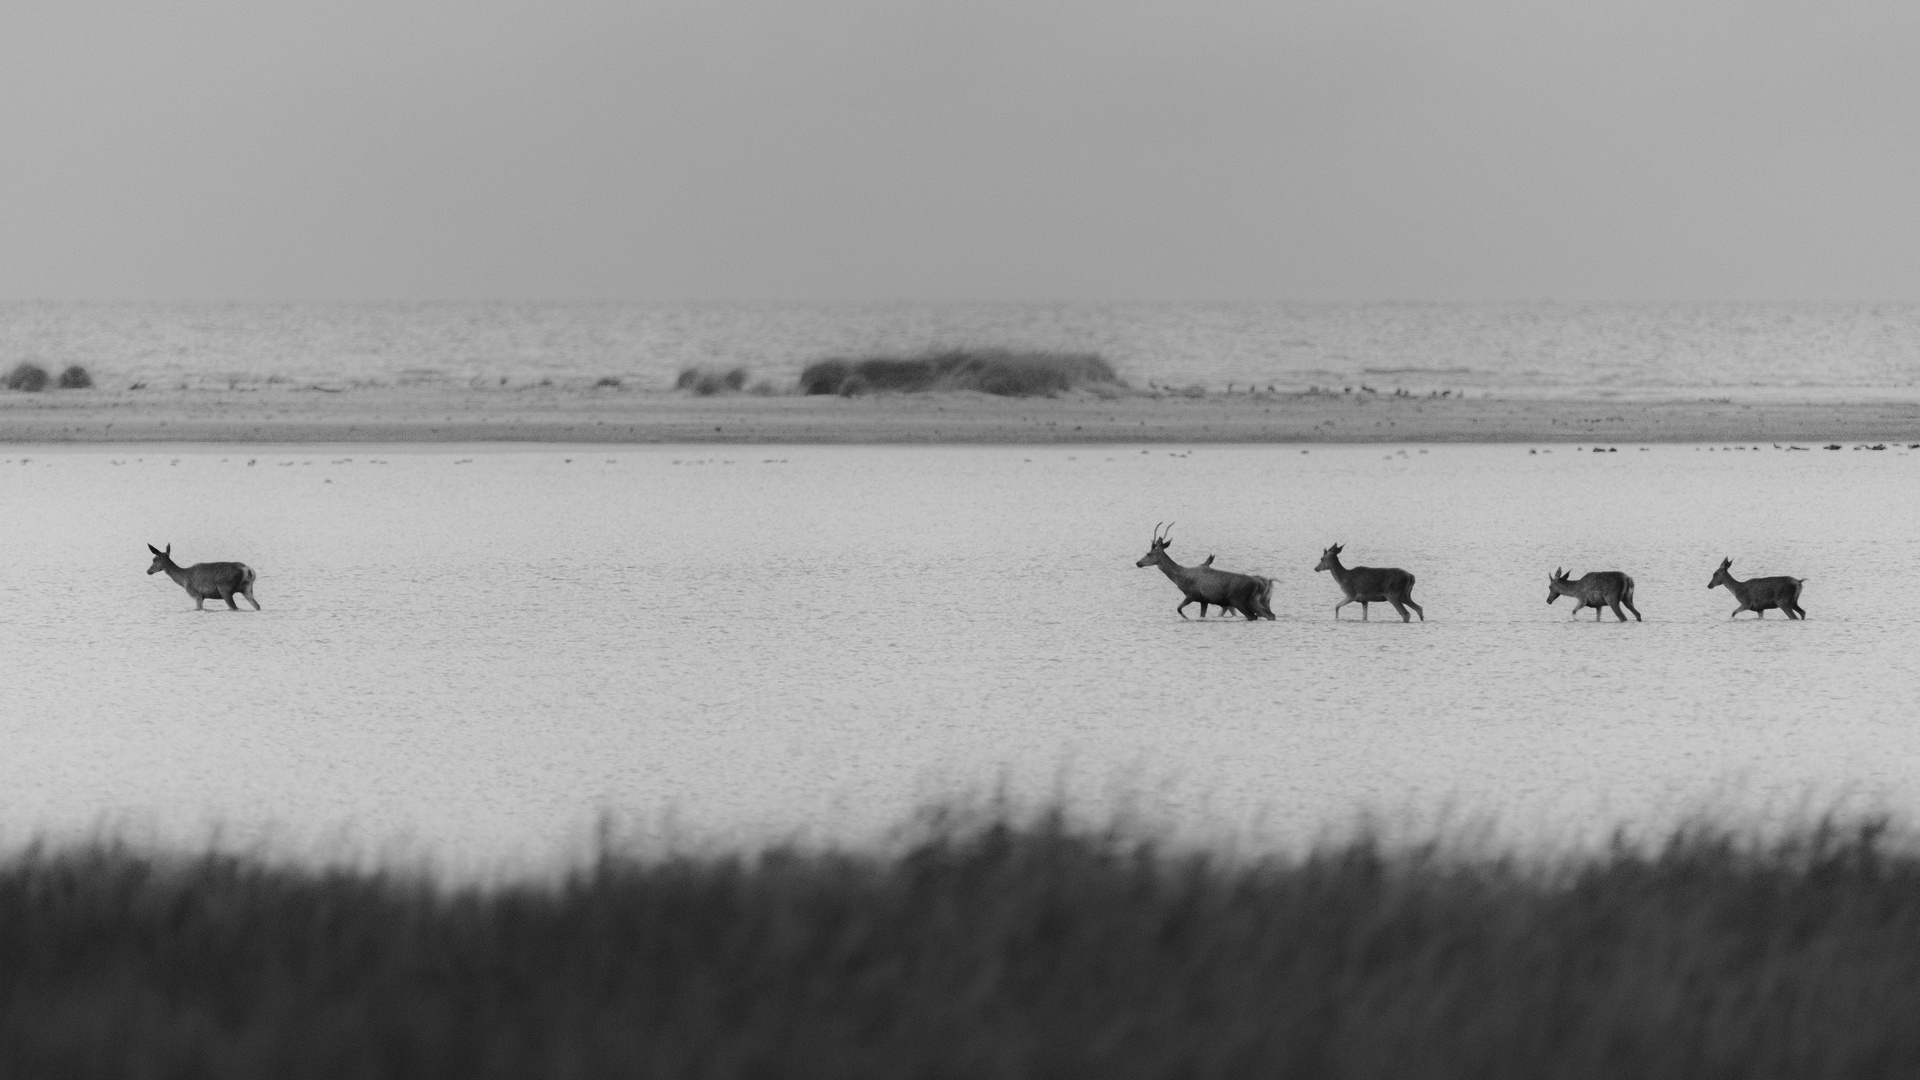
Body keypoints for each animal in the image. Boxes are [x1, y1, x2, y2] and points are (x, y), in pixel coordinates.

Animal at [1136, 518, 1274, 618]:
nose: (1138, 563)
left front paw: (1186, 618)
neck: (1180, 578)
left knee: (1255, 616)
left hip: (1238, 600)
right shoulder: (1204, 600)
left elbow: (1179, 609)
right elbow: (1201, 615)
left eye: (1149, 553)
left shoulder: (1192, 595)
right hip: (1253, 600)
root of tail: (1259, 583)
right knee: (1270, 615)